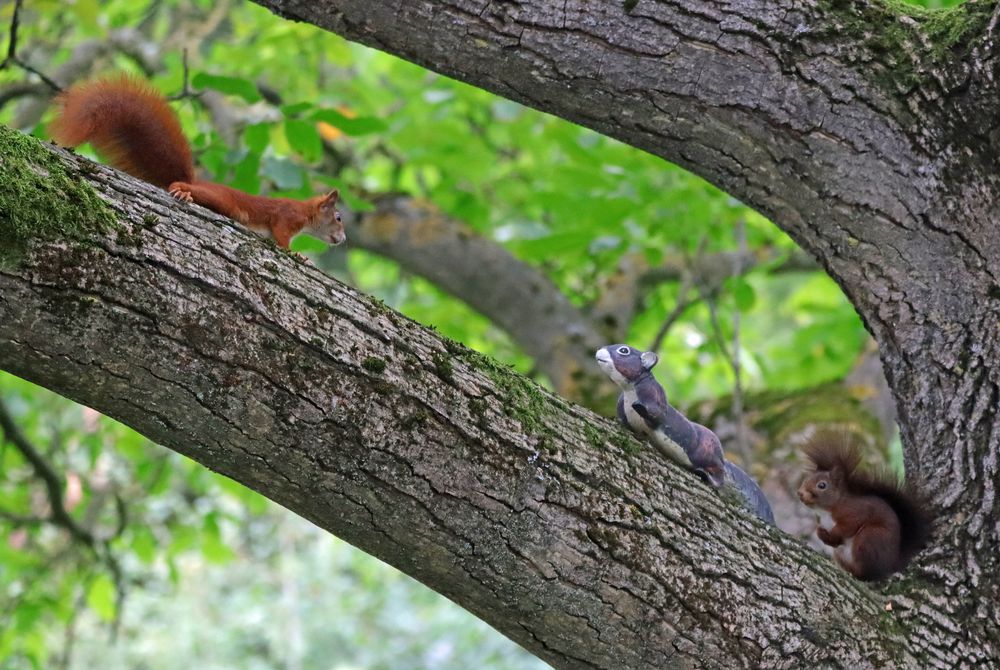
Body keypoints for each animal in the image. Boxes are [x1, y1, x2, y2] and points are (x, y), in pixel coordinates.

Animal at [51, 75, 348, 249]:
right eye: (338, 217)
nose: (343, 238)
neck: (306, 214)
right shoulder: (286, 217)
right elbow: (282, 236)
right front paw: (298, 255)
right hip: (225, 202)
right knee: (182, 186)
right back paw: (182, 191)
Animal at [592, 346, 772, 524]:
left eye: (624, 351)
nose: (599, 351)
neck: (629, 391)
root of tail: (722, 458)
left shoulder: (655, 395)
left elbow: (656, 415)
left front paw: (640, 408)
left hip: (707, 454)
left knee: (718, 476)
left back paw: (705, 474)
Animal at [796, 436, 928, 584]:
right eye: (806, 479)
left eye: (822, 485)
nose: (800, 493)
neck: (827, 510)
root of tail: (890, 566)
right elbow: (830, 539)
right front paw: (821, 533)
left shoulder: (855, 511)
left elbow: (850, 524)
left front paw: (833, 533)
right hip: (841, 554)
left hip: (869, 538)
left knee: (868, 574)